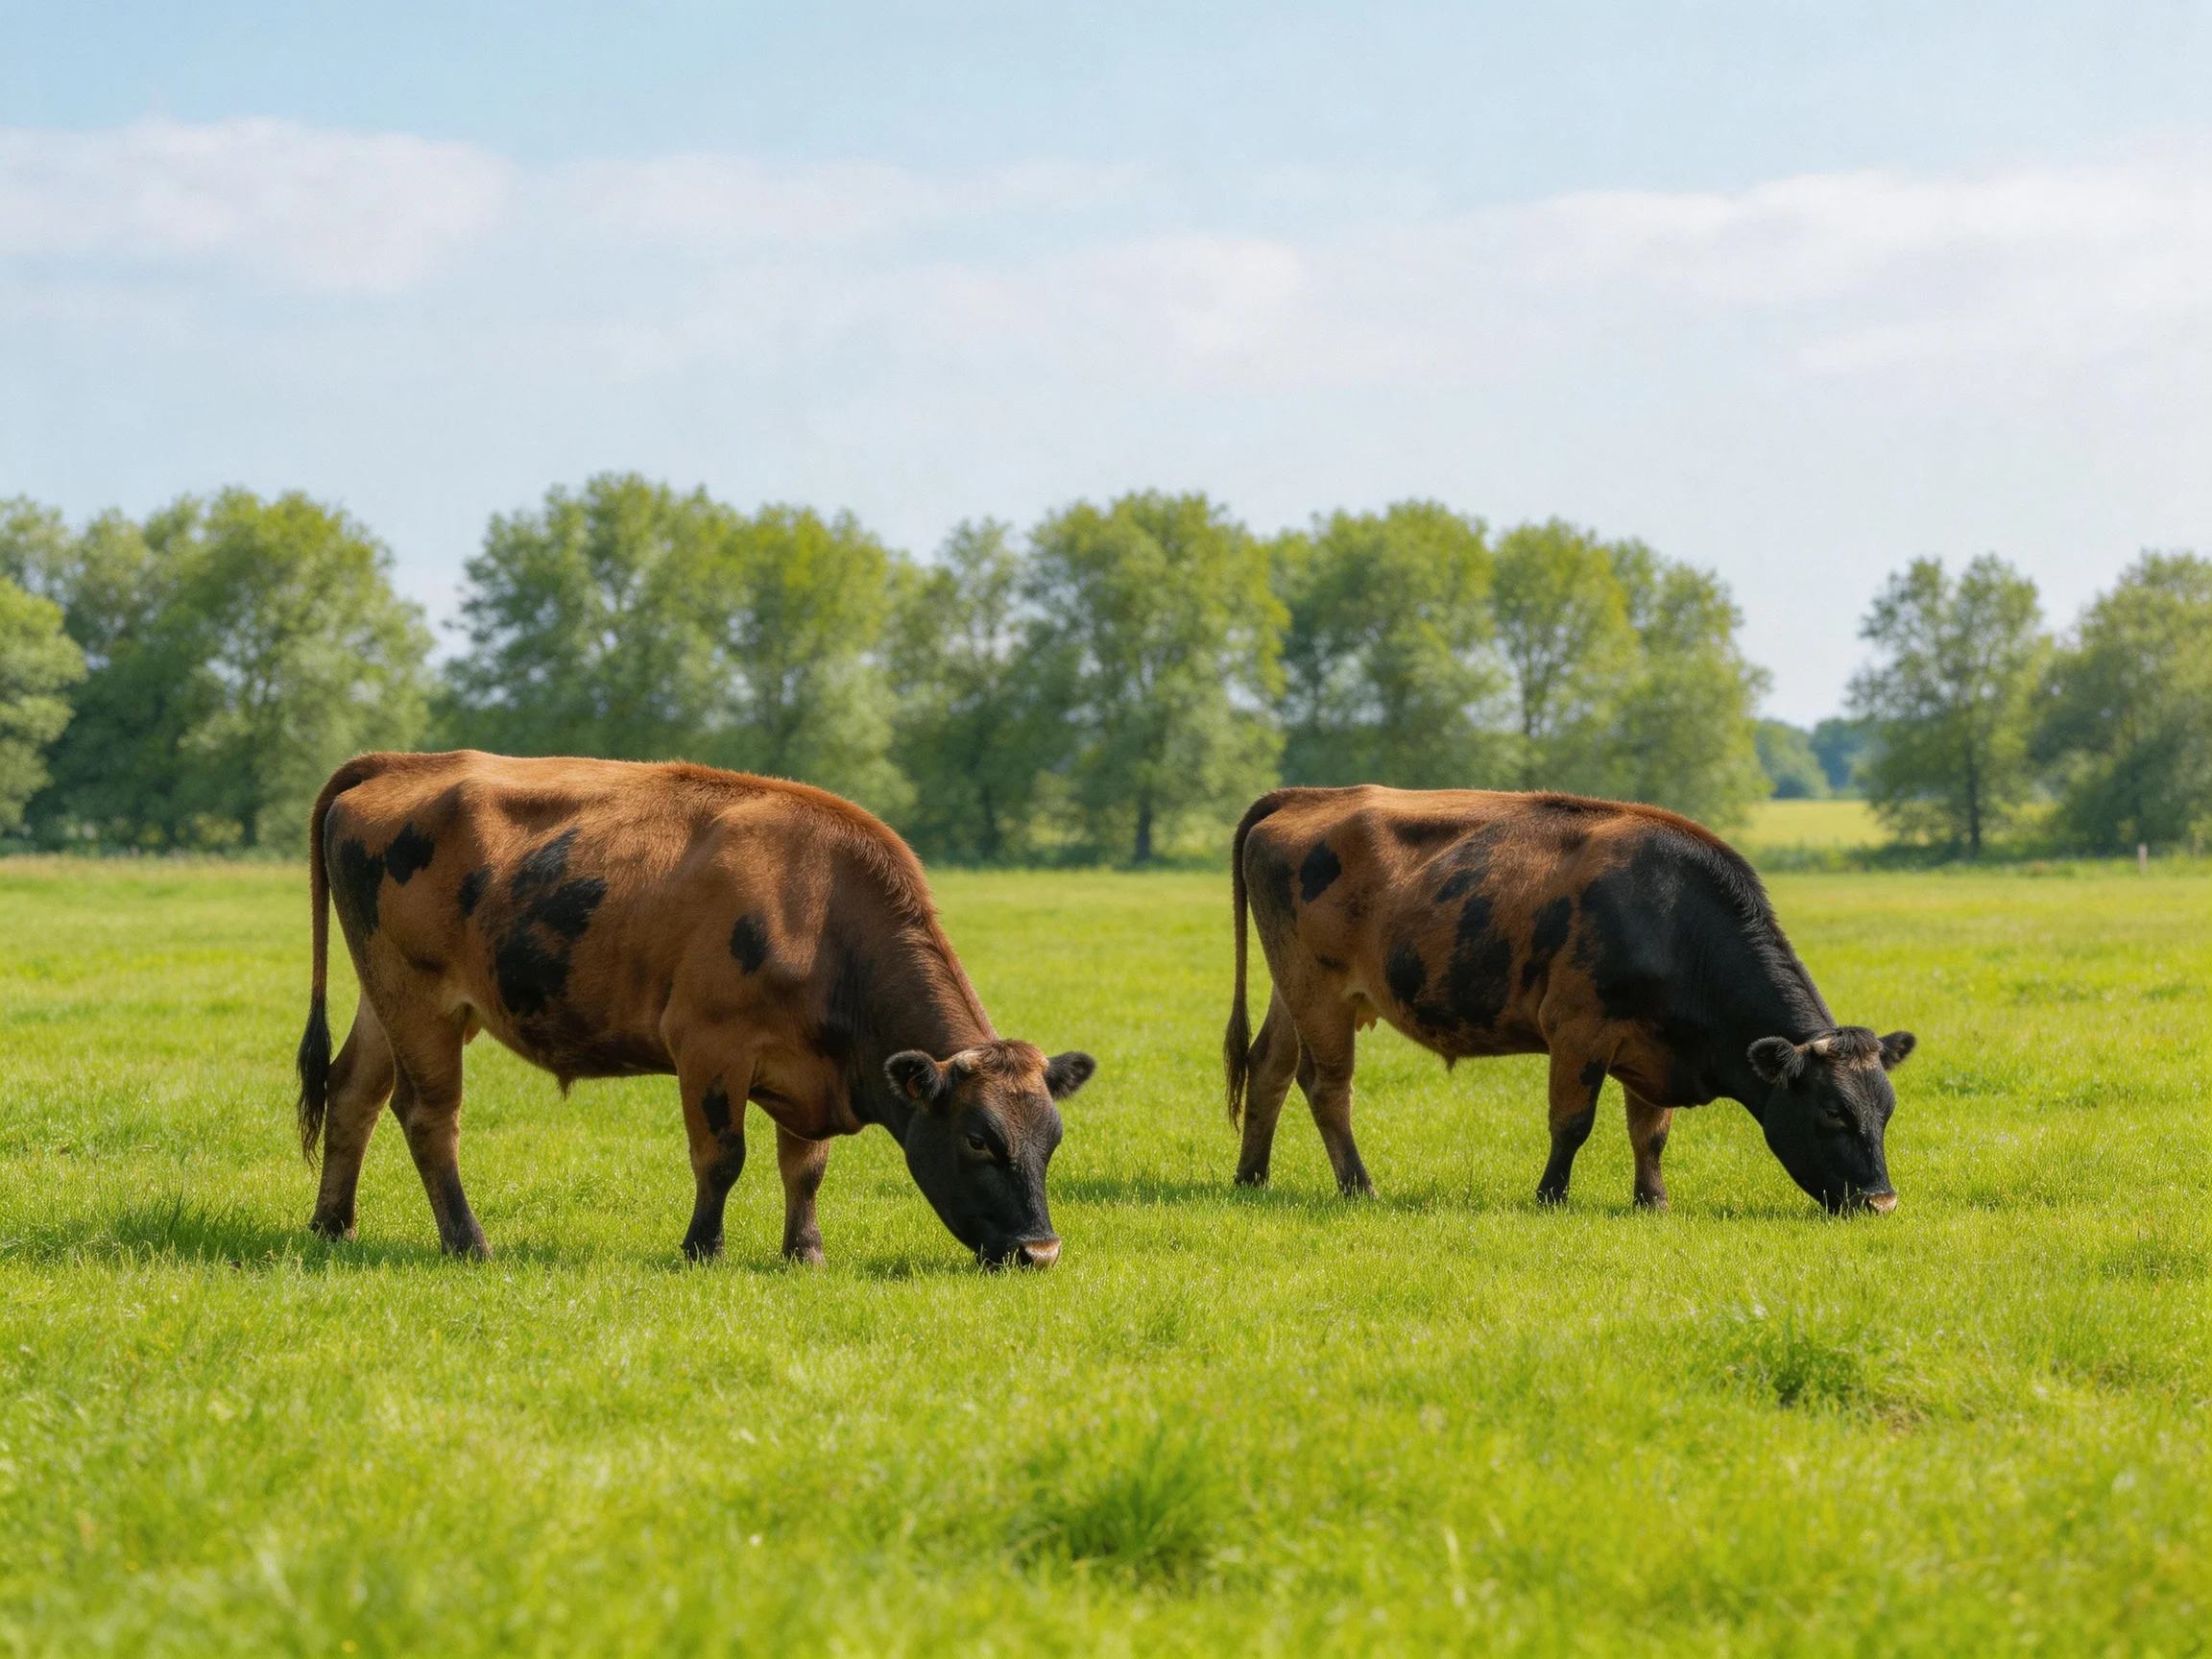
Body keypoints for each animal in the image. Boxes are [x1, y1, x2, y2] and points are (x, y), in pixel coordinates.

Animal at [293, 751, 1094, 1266]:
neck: (821, 911)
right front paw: (702, 1248)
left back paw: (332, 1225)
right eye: (978, 1140)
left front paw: (805, 1253)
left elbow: (805, 1167)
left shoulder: (808, 1066)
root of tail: (404, 762)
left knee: (353, 1093)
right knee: (430, 1118)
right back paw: (469, 1243)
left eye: (1052, 1140)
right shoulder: (710, 1045)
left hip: (385, 997)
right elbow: (723, 1156)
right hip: (419, 996)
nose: (1042, 1251)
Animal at [1222, 786, 1915, 1214]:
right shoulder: (1578, 1029)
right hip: (1320, 992)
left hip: (1293, 989)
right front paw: (1550, 1196)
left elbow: (1650, 1134)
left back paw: (1252, 1176)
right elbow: (1572, 1123)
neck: (1671, 918)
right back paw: (1359, 1187)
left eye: (1886, 1111)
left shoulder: (1653, 1044)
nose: (1882, 1202)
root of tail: (1309, 796)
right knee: (1327, 1087)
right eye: (1832, 1112)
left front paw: (1653, 1201)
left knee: (1269, 1068)